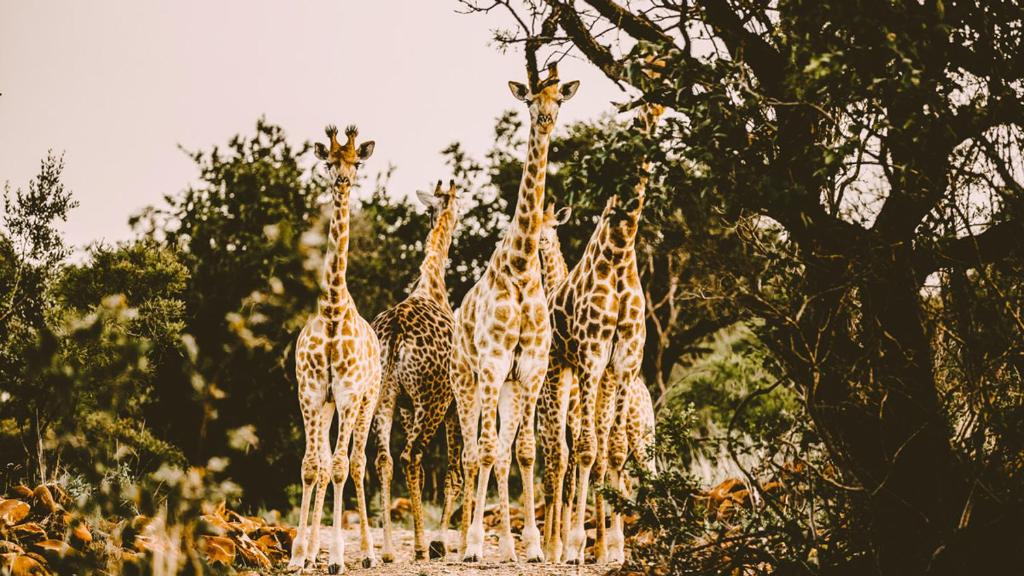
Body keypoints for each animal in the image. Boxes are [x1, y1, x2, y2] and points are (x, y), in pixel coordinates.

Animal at [452, 63, 581, 561]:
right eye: (529, 99)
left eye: (559, 99)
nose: (545, 119)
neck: (524, 266)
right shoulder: (491, 364)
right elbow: (486, 450)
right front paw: (474, 545)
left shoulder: (530, 368)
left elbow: (524, 451)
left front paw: (532, 545)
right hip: (466, 380)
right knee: (473, 451)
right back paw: (465, 543)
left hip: (505, 386)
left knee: (502, 452)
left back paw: (506, 543)